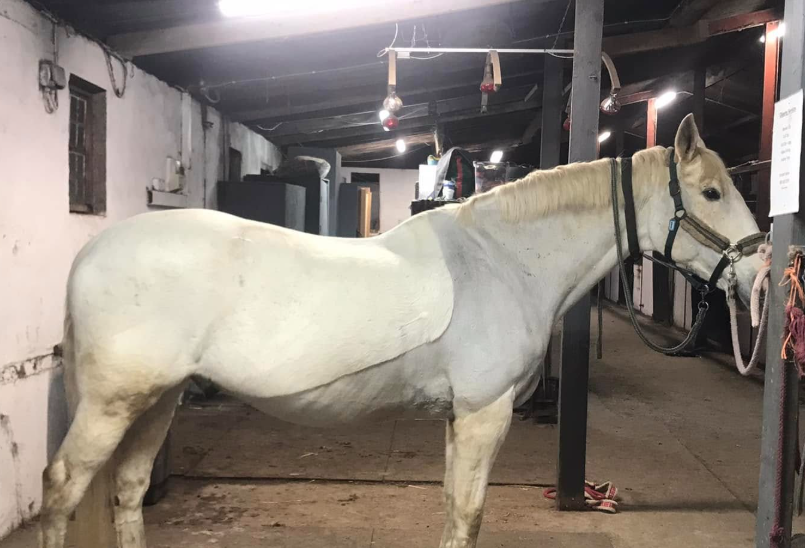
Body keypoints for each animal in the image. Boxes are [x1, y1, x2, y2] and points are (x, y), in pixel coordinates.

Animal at [40, 114, 763, 548]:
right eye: (710, 193)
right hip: (113, 404)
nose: (757, 272)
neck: (501, 261)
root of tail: (91, 250)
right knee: (61, 489)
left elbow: (450, 508)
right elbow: (468, 514)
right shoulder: (484, 413)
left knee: (129, 489)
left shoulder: (458, 418)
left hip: (158, 399)